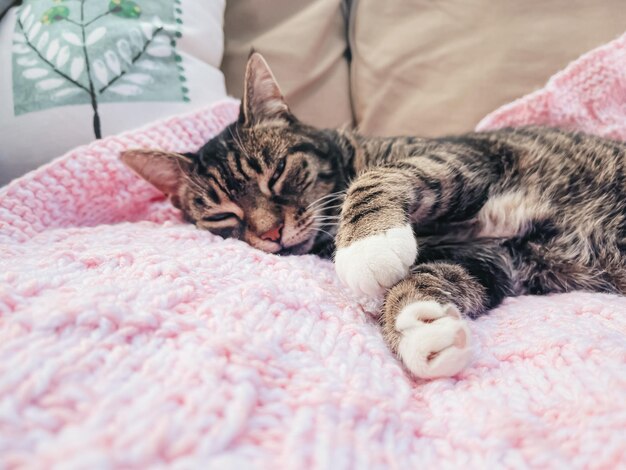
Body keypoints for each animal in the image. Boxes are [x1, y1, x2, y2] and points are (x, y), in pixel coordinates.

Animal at [120, 53, 624, 380]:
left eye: (277, 173)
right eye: (223, 216)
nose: (272, 232)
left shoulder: (465, 157)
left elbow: (382, 175)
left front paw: (366, 244)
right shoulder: (486, 256)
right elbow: (427, 278)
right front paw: (419, 327)